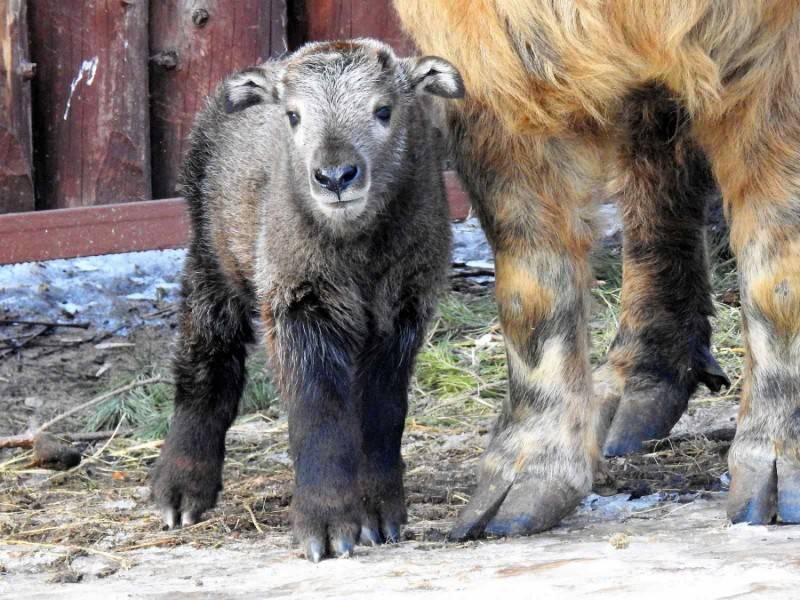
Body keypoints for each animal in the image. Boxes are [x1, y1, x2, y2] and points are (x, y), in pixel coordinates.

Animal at [149, 41, 462, 564]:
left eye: (384, 110)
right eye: (293, 116)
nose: (335, 177)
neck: (356, 246)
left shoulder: (403, 311)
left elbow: (382, 412)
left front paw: (379, 514)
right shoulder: (298, 303)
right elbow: (318, 415)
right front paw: (326, 526)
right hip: (211, 258)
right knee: (206, 362)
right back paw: (181, 489)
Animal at [396, 0, 800, 540]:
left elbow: (779, 251)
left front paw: (778, 473)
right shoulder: (482, 44)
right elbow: (529, 277)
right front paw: (513, 496)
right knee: (654, 145)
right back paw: (630, 399)